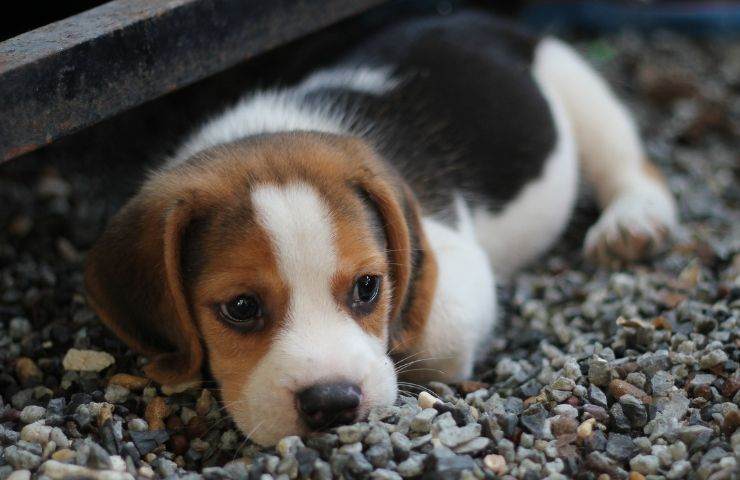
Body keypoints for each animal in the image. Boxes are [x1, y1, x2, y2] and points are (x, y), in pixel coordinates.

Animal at [85, 12, 676, 446]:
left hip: (576, 84)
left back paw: (634, 222)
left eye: (368, 287)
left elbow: (429, 332)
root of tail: (477, 19)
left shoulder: (455, 263)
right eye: (241, 308)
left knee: (629, 162)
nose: (332, 403)